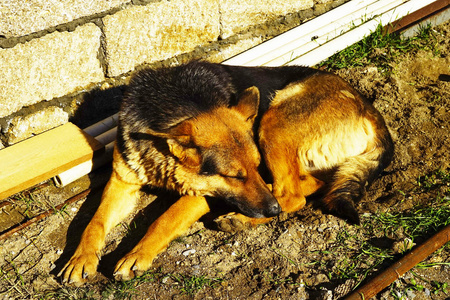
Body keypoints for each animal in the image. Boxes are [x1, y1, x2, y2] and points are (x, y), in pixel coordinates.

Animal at [60, 60, 394, 284]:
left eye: (255, 168)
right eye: (235, 176)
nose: (271, 211)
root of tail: (371, 111)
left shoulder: (201, 194)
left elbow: (163, 219)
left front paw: (137, 254)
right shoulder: (121, 182)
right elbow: (94, 222)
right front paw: (80, 258)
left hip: (273, 123)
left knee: (292, 195)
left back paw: (242, 219)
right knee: (309, 185)